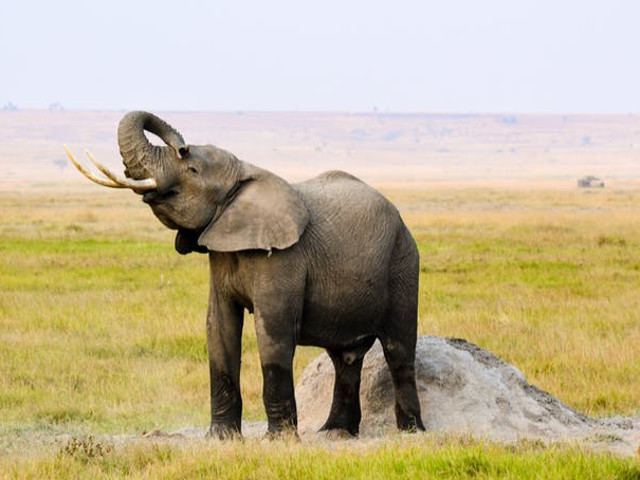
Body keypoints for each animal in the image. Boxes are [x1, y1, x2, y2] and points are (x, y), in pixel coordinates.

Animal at [65, 110, 425, 439]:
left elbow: (273, 332)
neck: (246, 172)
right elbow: (219, 327)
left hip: (403, 261)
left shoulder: (283, 259)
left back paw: (410, 433)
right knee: (345, 358)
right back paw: (335, 433)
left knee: (398, 349)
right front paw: (221, 438)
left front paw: (279, 441)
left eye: (192, 170)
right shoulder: (221, 254)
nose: (181, 145)